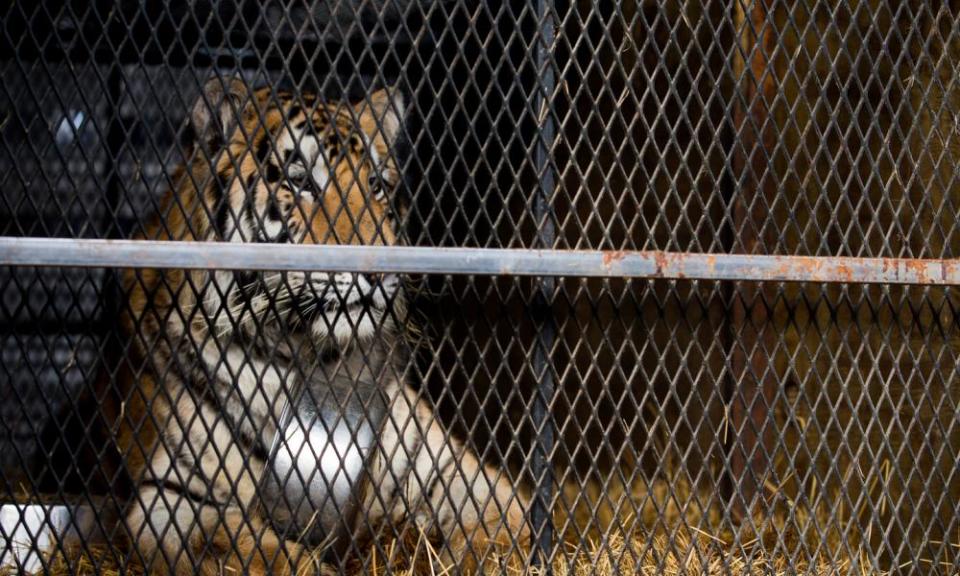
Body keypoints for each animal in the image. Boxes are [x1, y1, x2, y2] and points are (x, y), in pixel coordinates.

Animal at [117, 75, 532, 572]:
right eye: (300, 182)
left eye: (376, 185)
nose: (380, 270)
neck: (311, 357)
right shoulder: (168, 498)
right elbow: (247, 549)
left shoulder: (447, 466)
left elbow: (503, 525)